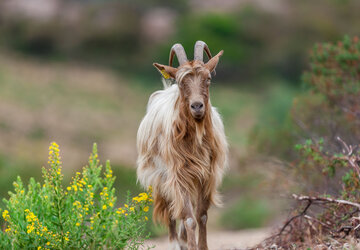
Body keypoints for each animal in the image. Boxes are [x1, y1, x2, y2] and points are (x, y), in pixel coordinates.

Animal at [136, 41, 226, 250]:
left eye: (208, 78)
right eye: (180, 81)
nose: (197, 106)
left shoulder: (206, 174)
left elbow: (201, 215)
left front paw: (201, 246)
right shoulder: (177, 175)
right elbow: (189, 218)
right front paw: (190, 245)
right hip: (160, 178)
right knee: (171, 213)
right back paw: (176, 243)